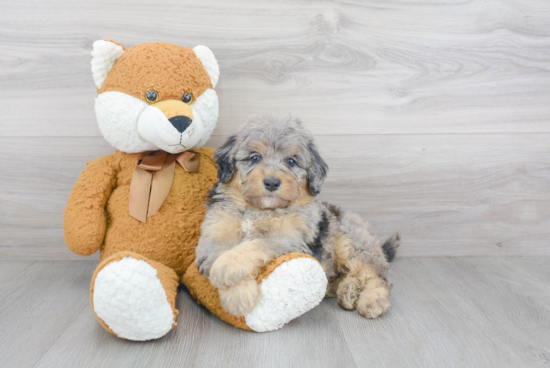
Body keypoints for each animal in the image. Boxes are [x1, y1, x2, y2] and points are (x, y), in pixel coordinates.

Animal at [196, 115, 398, 320]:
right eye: (254, 157)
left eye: (291, 161)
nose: (271, 182)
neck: (259, 210)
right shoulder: (213, 237)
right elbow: (218, 254)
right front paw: (239, 296)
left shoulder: (291, 241)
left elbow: (255, 245)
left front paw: (227, 270)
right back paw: (348, 291)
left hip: (351, 244)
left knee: (377, 274)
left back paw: (371, 299)